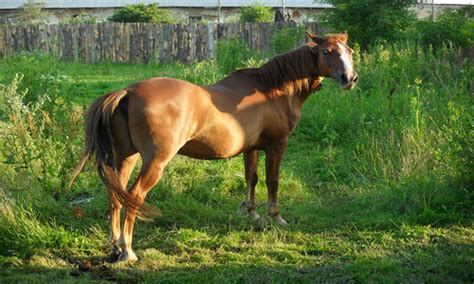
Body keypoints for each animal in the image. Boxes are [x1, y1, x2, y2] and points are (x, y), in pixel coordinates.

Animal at [69, 31, 360, 262]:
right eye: (326, 51)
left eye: (349, 51)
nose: (349, 78)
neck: (272, 88)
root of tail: (128, 92)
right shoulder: (277, 145)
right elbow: (273, 180)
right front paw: (276, 217)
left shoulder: (251, 148)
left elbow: (252, 178)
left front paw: (252, 215)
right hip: (155, 161)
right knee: (135, 196)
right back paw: (127, 250)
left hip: (125, 157)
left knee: (115, 195)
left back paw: (114, 246)